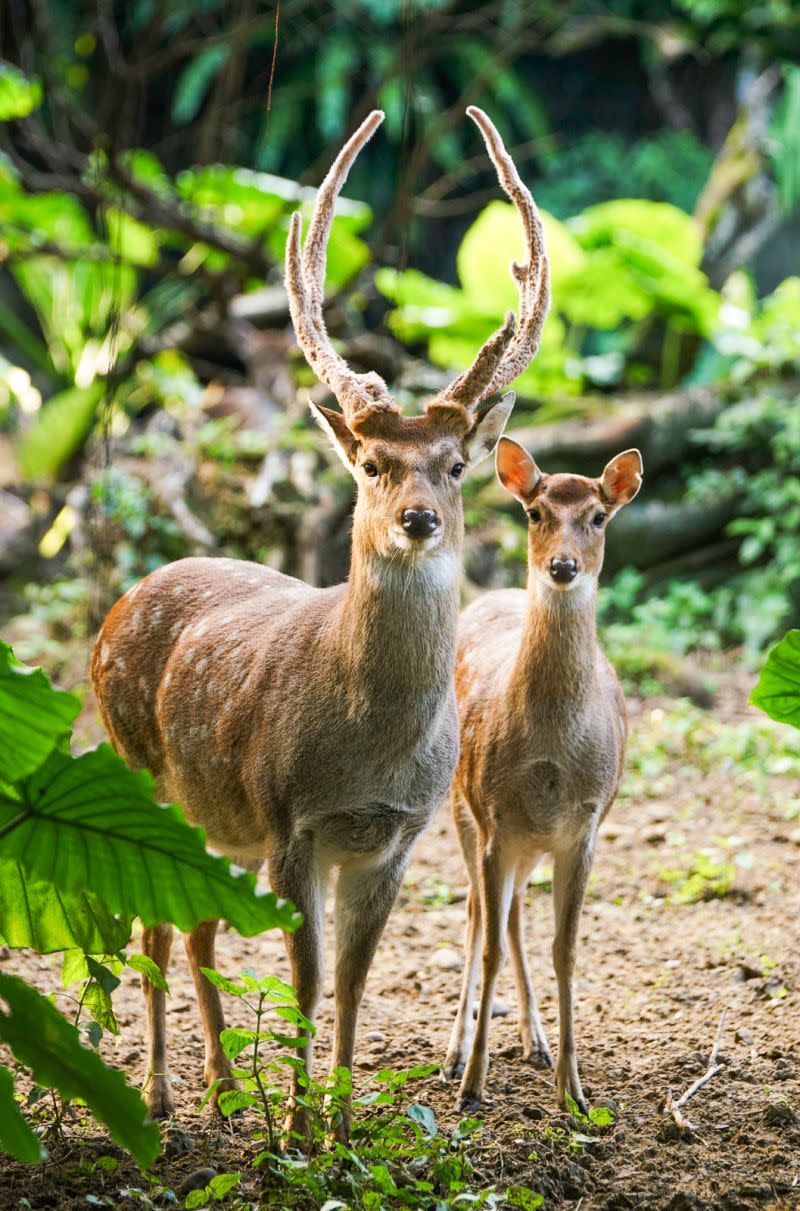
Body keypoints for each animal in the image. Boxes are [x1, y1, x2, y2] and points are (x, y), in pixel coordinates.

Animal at [88, 104, 549, 1133]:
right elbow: (302, 977)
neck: (366, 745)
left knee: (197, 930)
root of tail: (121, 604)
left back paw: (223, 1089)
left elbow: (351, 981)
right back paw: (163, 1097)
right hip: (139, 769)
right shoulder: (289, 817)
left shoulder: (396, 835)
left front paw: (338, 1122)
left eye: (456, 464)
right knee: (155, 929)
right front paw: (299, 1128)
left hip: (211, 815)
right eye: (373, 464)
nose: (417, 518)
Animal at [442, 438, 643, 1114]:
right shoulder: (495, 818)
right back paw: (454, 1055)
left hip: (529, 843)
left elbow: (566, 949)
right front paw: (472, 1088)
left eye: (600, 516)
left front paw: (574, 1091)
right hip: (462, 809)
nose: (562, 566)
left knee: (513, 916)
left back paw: (536, 1042)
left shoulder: (584, 827)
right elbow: (489, 945)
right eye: (534, 512)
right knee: (478, 914)